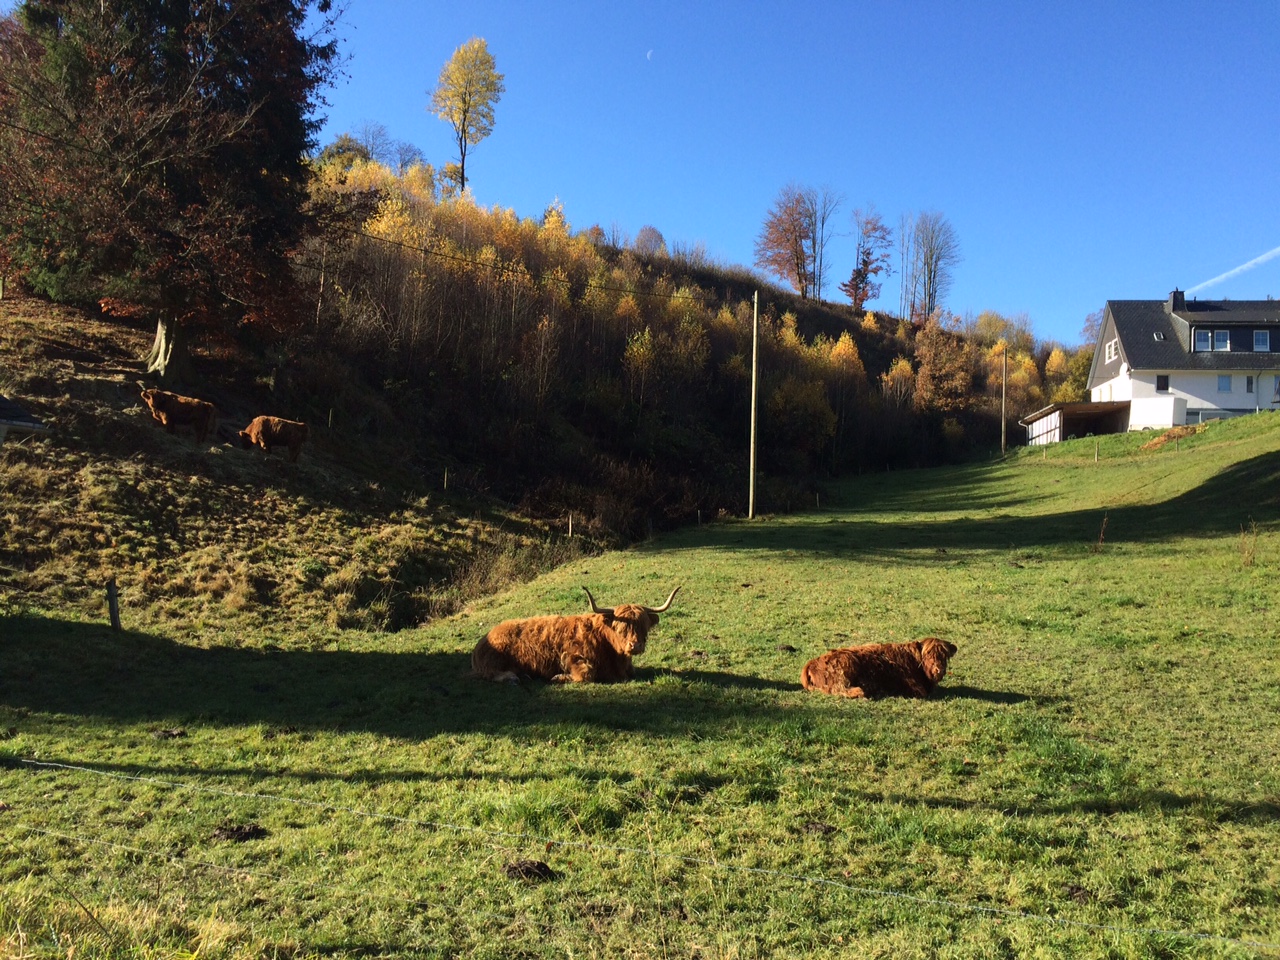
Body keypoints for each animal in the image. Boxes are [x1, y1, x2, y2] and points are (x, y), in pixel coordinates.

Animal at [473, 586, 680, 686]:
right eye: (619, 627)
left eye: (643, 625)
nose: (635, 646)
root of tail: (486, 637)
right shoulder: (573, 657)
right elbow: (587, 675)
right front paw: (558, 677)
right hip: (493, 662)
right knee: (490, 673)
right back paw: (513, 678)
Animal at [798, 640, 962, 701]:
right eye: (928, 654)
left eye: (945, 655)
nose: (938, 669)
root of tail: (811, 663)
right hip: (845, 665)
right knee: (840, 689)